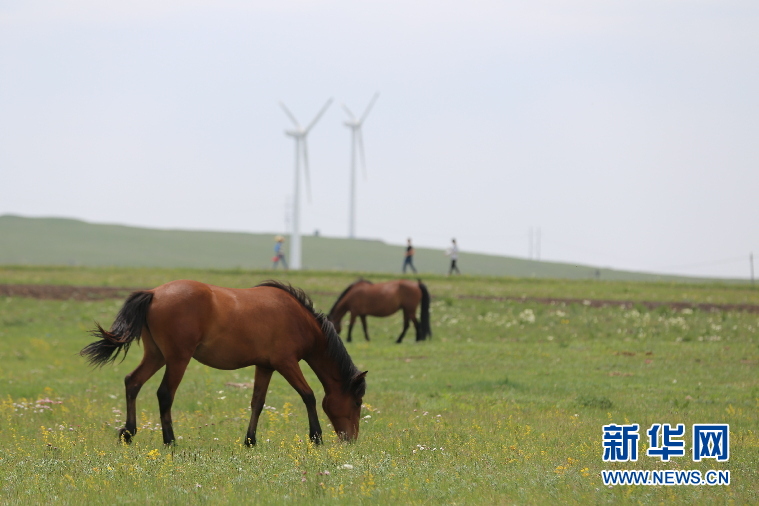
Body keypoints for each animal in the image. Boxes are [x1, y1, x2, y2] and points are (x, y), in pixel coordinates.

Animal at [80, 280, 368, 446]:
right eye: (357, 402)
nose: (351, 440)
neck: (298, 318)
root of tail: (153, 293)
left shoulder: (265, 366)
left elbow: (257, 402)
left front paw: (250, 441)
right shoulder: (286, 363)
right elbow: (308, 396)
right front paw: (316, 437)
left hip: (156, 356)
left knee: (133, 382)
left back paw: (128, 433)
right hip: (177, 359)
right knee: (164, 394)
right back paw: (170, 441)